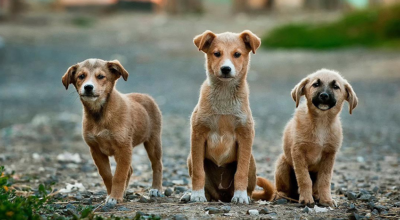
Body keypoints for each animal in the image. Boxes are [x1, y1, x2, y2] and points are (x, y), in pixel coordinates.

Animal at [61, 58, 164, 206]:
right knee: (130, 170)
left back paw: (156, 188)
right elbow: (107, 175)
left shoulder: (124, 148)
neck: (100, 113)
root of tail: (146, 96)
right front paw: (112, 194)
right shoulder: (96, 150)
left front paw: (115, 196)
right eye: (81, 76)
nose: (88, 87)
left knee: (157, 165)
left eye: (100, 76)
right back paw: (125, 191)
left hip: (153, 141)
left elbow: (119, 175)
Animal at [188, 30, 262, 204]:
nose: (226, 69)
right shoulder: (198, 134)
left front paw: (240, 196)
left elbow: (240, 172)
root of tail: (221, 195)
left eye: (237, 54)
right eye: (217, 53)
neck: (224, 95)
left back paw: (245, 196)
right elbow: (198, 172)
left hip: (252, 161)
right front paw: (196, 194)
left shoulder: (245, 135)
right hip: (190, 158)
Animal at [256, 69, 360, 207]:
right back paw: (282, 196)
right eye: (316, 84)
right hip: (282, 164)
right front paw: (306, 199)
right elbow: (304, 179)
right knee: (282, 189)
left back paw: (316, 196)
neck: (321, 122)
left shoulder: (329, 155)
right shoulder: (298, 152)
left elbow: (325, 180)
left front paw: (326, 199)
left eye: (336, 86)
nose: (324, 95)